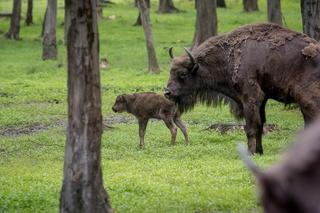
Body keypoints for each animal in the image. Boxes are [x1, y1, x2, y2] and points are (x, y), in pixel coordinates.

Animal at [164, 22, 320, 153]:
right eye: (170, 71)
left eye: (183, 73)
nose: (167, 93)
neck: (227, 56)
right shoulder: (261, 100)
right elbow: (260, 124)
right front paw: (259, 151)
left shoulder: (249, 97)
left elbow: (251, 127)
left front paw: (250, 152)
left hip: (307, 101)